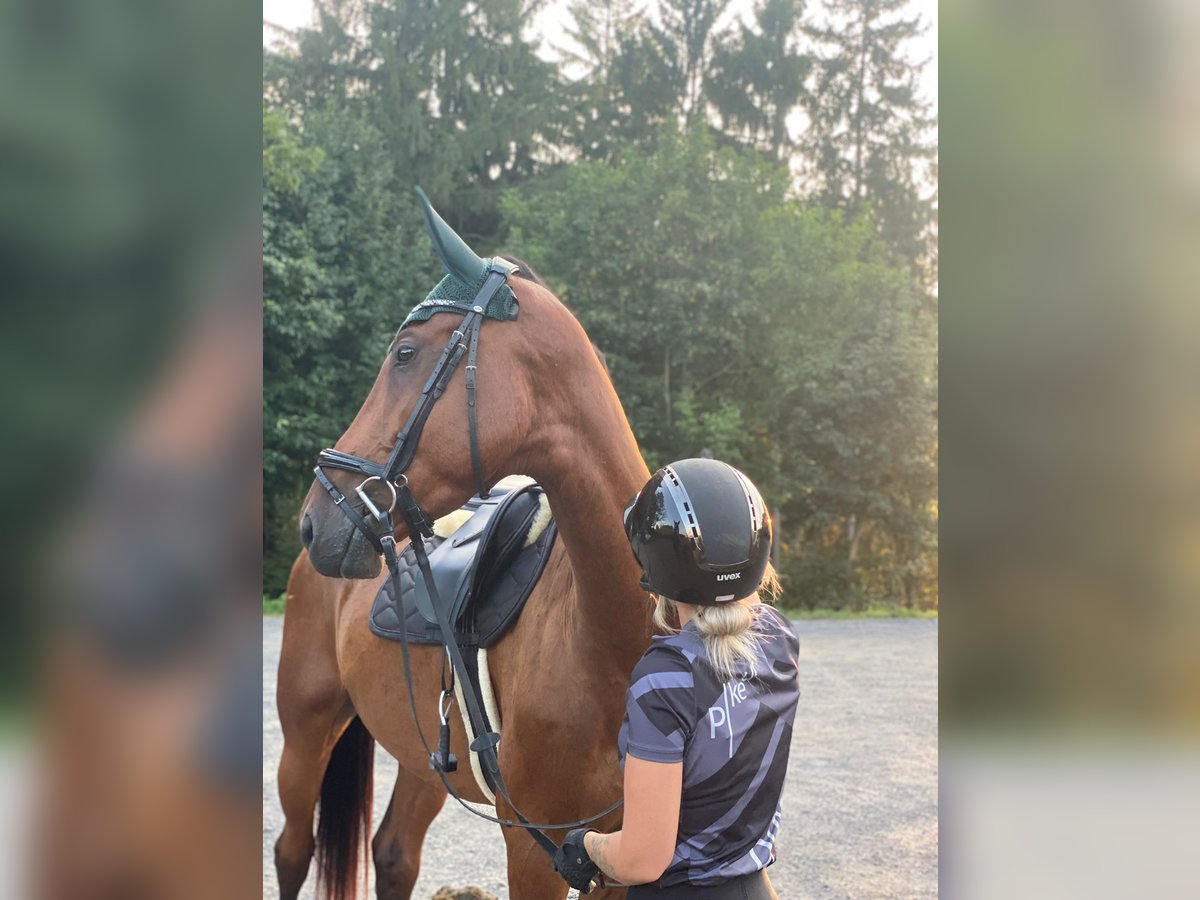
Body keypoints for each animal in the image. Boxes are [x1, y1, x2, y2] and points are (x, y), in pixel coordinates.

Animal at [274, 199, 657, 900]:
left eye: (404, 353)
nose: (315, 521)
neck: (610, 639)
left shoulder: (625, 854)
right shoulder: (532, 851)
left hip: (424, 755)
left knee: (393, 853)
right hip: (305, 732)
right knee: (293, 849)